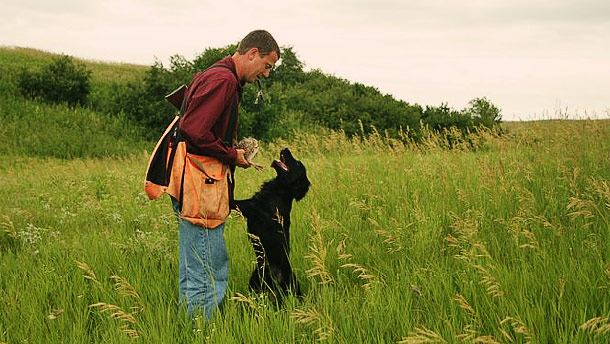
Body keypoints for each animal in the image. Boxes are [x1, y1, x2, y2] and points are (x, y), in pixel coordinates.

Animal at [233, 148, 308, 298]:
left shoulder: (251, 208)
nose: (286, 148)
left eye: (297, 164)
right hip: (255, 282)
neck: (279, 191)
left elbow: (231, 201)